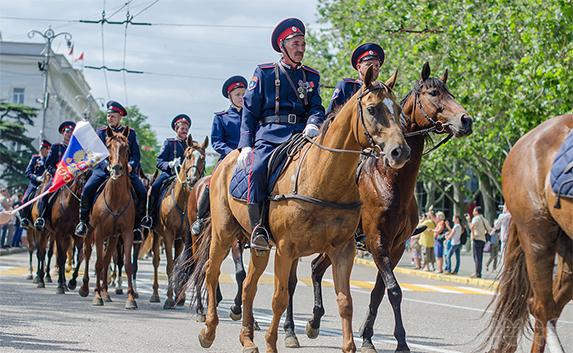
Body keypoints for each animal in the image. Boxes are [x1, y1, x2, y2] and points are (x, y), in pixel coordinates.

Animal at [77, 126, 138, 308]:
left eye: (126, 147)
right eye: (108, 146)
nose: (117, 168)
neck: (115, 198)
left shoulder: (126, 233)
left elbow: (127, 264)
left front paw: (131, 298)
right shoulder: (99, 232)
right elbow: (97, 263)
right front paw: (96, 296)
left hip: (113, 237)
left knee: (107, 258)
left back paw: (105, 292)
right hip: (90, 232)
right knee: (87, 254)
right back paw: (86, 288)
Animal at [150, 135, 208, 308]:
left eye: (203, 158)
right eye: (188, 156)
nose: (192, 179)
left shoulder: (182, 237)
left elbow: (178, 264)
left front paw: (179, 296)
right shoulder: (168, 234)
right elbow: (170, 265)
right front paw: (169, 299)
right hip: (156, 235)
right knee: (156, 261)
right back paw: (155, 294)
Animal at [183, 66, 412, 352]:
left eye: (399, 110)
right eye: (372, 109)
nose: (400, 152)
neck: (325, 179)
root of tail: (226, 161)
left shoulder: (343, 250)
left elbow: (345, 301)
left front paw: (349, 345)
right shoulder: (286, 249)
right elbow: (279, 298)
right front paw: (273, 344)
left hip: (257, 246)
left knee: (248, 285)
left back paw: (247, 338)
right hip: (223, 234)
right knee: (211, 271)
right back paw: (209, 330)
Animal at [282, 62, 474, 350]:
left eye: (448, 92)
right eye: (432, 93)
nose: (465, 120)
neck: (389, 180)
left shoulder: (396, 246)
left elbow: (379, 291)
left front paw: (368, 337)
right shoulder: (376, 241)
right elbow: (394, 290)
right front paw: (401, 342)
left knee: (315, 268)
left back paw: (314, 322)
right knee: (292, 281)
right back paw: (290, 330)